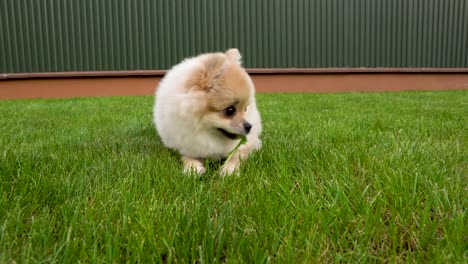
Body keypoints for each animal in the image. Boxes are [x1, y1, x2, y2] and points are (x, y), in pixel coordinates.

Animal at [154, 48, 262, 176]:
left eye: (245, 109)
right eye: (230, 110)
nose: (249, 126)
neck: (206, 134)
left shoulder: (250, 143)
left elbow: (236, 155)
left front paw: (229, 169)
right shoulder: (185, 144)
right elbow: (187, 156)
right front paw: (192, 168)